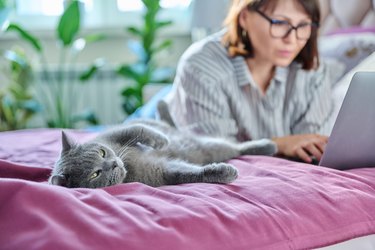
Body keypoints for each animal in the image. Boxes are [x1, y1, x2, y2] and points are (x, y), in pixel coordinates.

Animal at [50, 119, 276, 188]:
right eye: (95, 174)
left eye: (103, 152)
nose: (114, 164)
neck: (128, 167)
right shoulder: (160, 172)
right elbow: (188, 173)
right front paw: (224, 173)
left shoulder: (116, 134)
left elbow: (139, 129)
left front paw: (161, 141)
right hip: (208, 151)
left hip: (209, 146)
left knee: (236, 146)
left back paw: (269, 145)